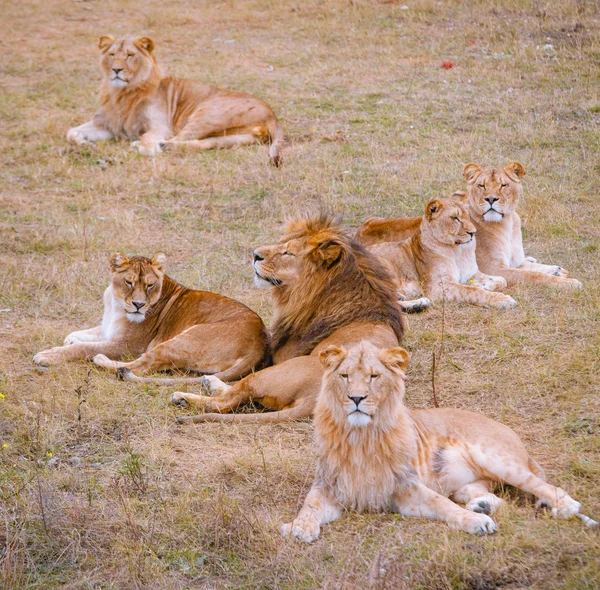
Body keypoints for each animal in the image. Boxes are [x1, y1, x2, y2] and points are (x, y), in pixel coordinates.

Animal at [32, 252, 268, 382]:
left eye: (149, 285)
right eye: (129, 282)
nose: (138, 305)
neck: (116, 303)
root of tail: (259, 344)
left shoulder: (128, 345)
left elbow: (84, 348)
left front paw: (47, 355)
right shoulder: (109, 329)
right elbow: (88, 333)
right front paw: (69, 339)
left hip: (181, 340)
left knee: (139, 366)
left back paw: (101, 359)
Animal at [66, 36, 284, 166]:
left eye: (129, 55)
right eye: (112, 55)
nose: (116, 70)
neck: (121, 93)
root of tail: (272, 115)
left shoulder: (161, 126)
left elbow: (149, 138)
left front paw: (145, 145)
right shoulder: (108, 124)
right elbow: (70, 132)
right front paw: (82, 140)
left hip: (206, 113)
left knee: (171, 140)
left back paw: (147, 146)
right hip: (234, 137)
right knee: (202, 143)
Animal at [166, 215, 406, 424]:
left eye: (288, 252)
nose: (254, 254)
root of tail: (316, 400)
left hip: (275, 372)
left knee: (227, 401)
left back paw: (183, 397)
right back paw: (209, 383)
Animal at [282, 340, 600, 544]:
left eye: (374, 376)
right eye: (345, 376)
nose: (356, 398)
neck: (360, 436)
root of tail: (513, 435)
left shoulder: (406, 488)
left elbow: (442, 505)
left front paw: (476, 524)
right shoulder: (329, 485)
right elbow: (310, 505)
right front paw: (298, 527)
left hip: (496, 458)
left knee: (551, 490)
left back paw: (560, 508)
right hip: (470, 481)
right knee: (482, 493)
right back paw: (482, 506)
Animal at [368, 199, 516, 310]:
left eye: (467, 216)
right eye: (455, 218)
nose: (473, 233)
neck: (458, 251)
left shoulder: (470, 273)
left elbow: (501, 280)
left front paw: (482, 285)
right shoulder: (438, 287)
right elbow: (472, 291)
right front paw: (502, 299)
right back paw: (418, 304)